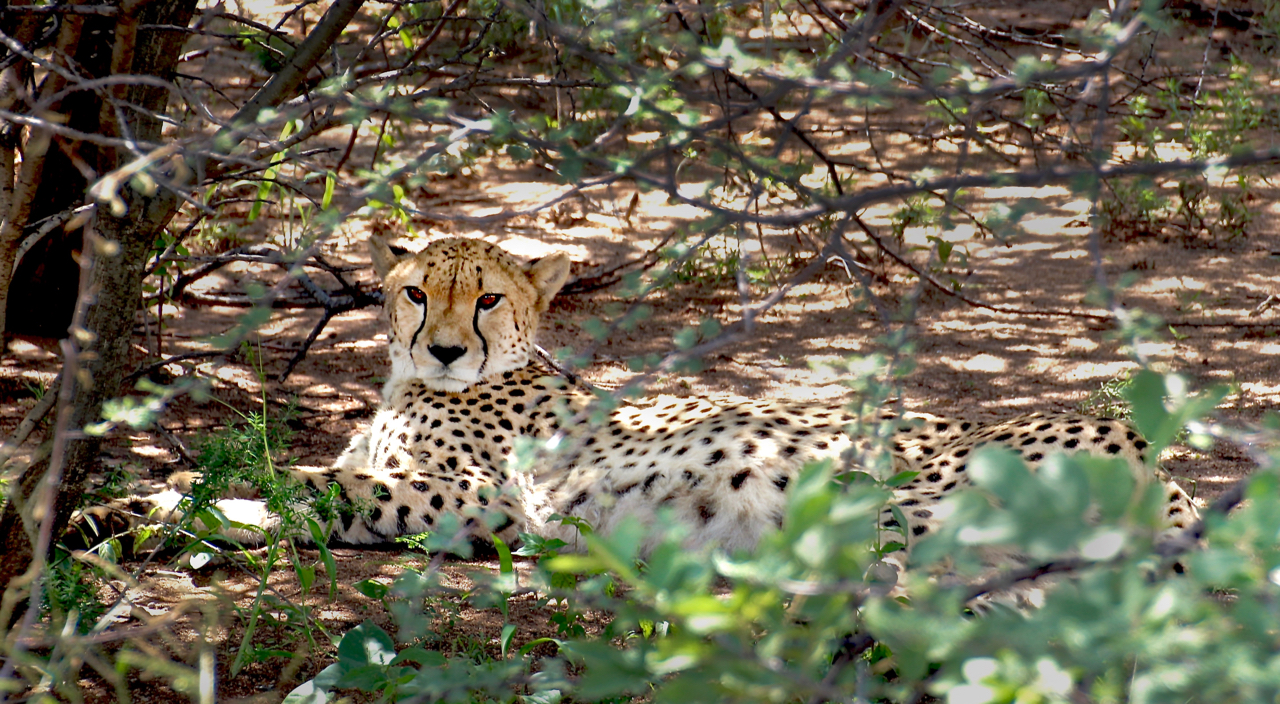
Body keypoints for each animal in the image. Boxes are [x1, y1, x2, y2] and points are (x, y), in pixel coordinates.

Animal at [80, 236, 1198, 578]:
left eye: (486, 297)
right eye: (414, 291)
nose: (443, 346)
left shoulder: (466, 501)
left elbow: (297, 486)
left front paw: (129, 507)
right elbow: (260, 496)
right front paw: (110, 513)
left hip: (896, 506)